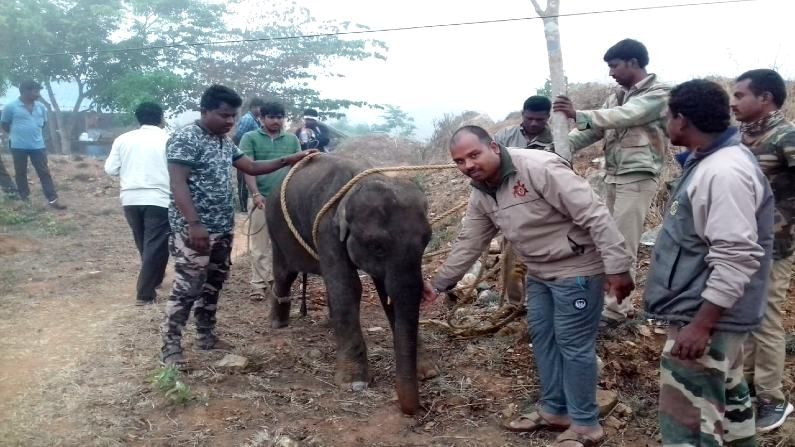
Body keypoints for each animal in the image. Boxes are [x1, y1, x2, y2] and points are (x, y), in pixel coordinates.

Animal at [268, 154, 442, 416]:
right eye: (378, 247)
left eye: (426, 241)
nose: (415, 409)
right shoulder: (326, 230)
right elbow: (347, 286)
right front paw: (354, 383)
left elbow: (385, 291)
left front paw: (428, 371)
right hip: (276, 230)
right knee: (284, 274)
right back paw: (277, 324)